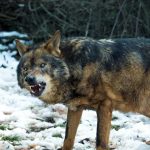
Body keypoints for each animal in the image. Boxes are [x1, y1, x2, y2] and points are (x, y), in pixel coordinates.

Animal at [15, 30, 150, 150]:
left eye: (42, 65)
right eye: (25, 68)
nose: (29, 79)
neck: (75, 68)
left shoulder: (105, 106)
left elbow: (100, 143)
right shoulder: (75, 108)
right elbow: (68, 140)